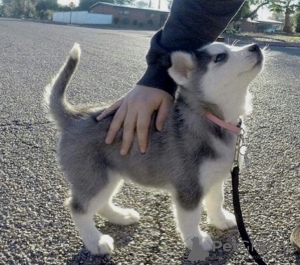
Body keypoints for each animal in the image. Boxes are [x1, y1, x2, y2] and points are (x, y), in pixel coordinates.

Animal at [44, 41, 262, 254]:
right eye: (220, 57)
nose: (256, 46)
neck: (212, 118)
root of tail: (74, 117)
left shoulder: (215, 176)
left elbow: (217, 199)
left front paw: (220, 220)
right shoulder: (188, 186)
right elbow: (190, 217)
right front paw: (197, 240)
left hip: (109, 175)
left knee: (101, 203)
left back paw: (121, 216)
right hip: (94, 177)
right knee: (78, 208)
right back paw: (95, 241)